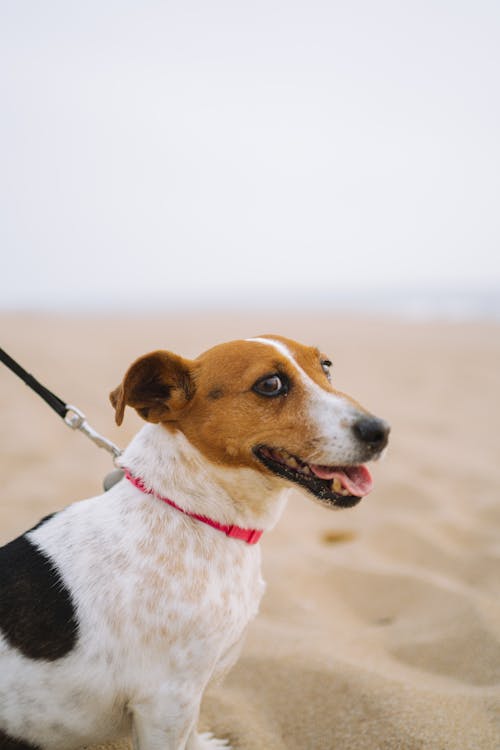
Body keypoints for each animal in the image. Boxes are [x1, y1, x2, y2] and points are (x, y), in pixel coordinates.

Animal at [0, 336, 388, 750]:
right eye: (270, 385)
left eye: (326, 366)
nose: (381, 431)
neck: (193, 512)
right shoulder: (166, 701)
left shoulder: (186, 699)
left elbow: (192, 735)